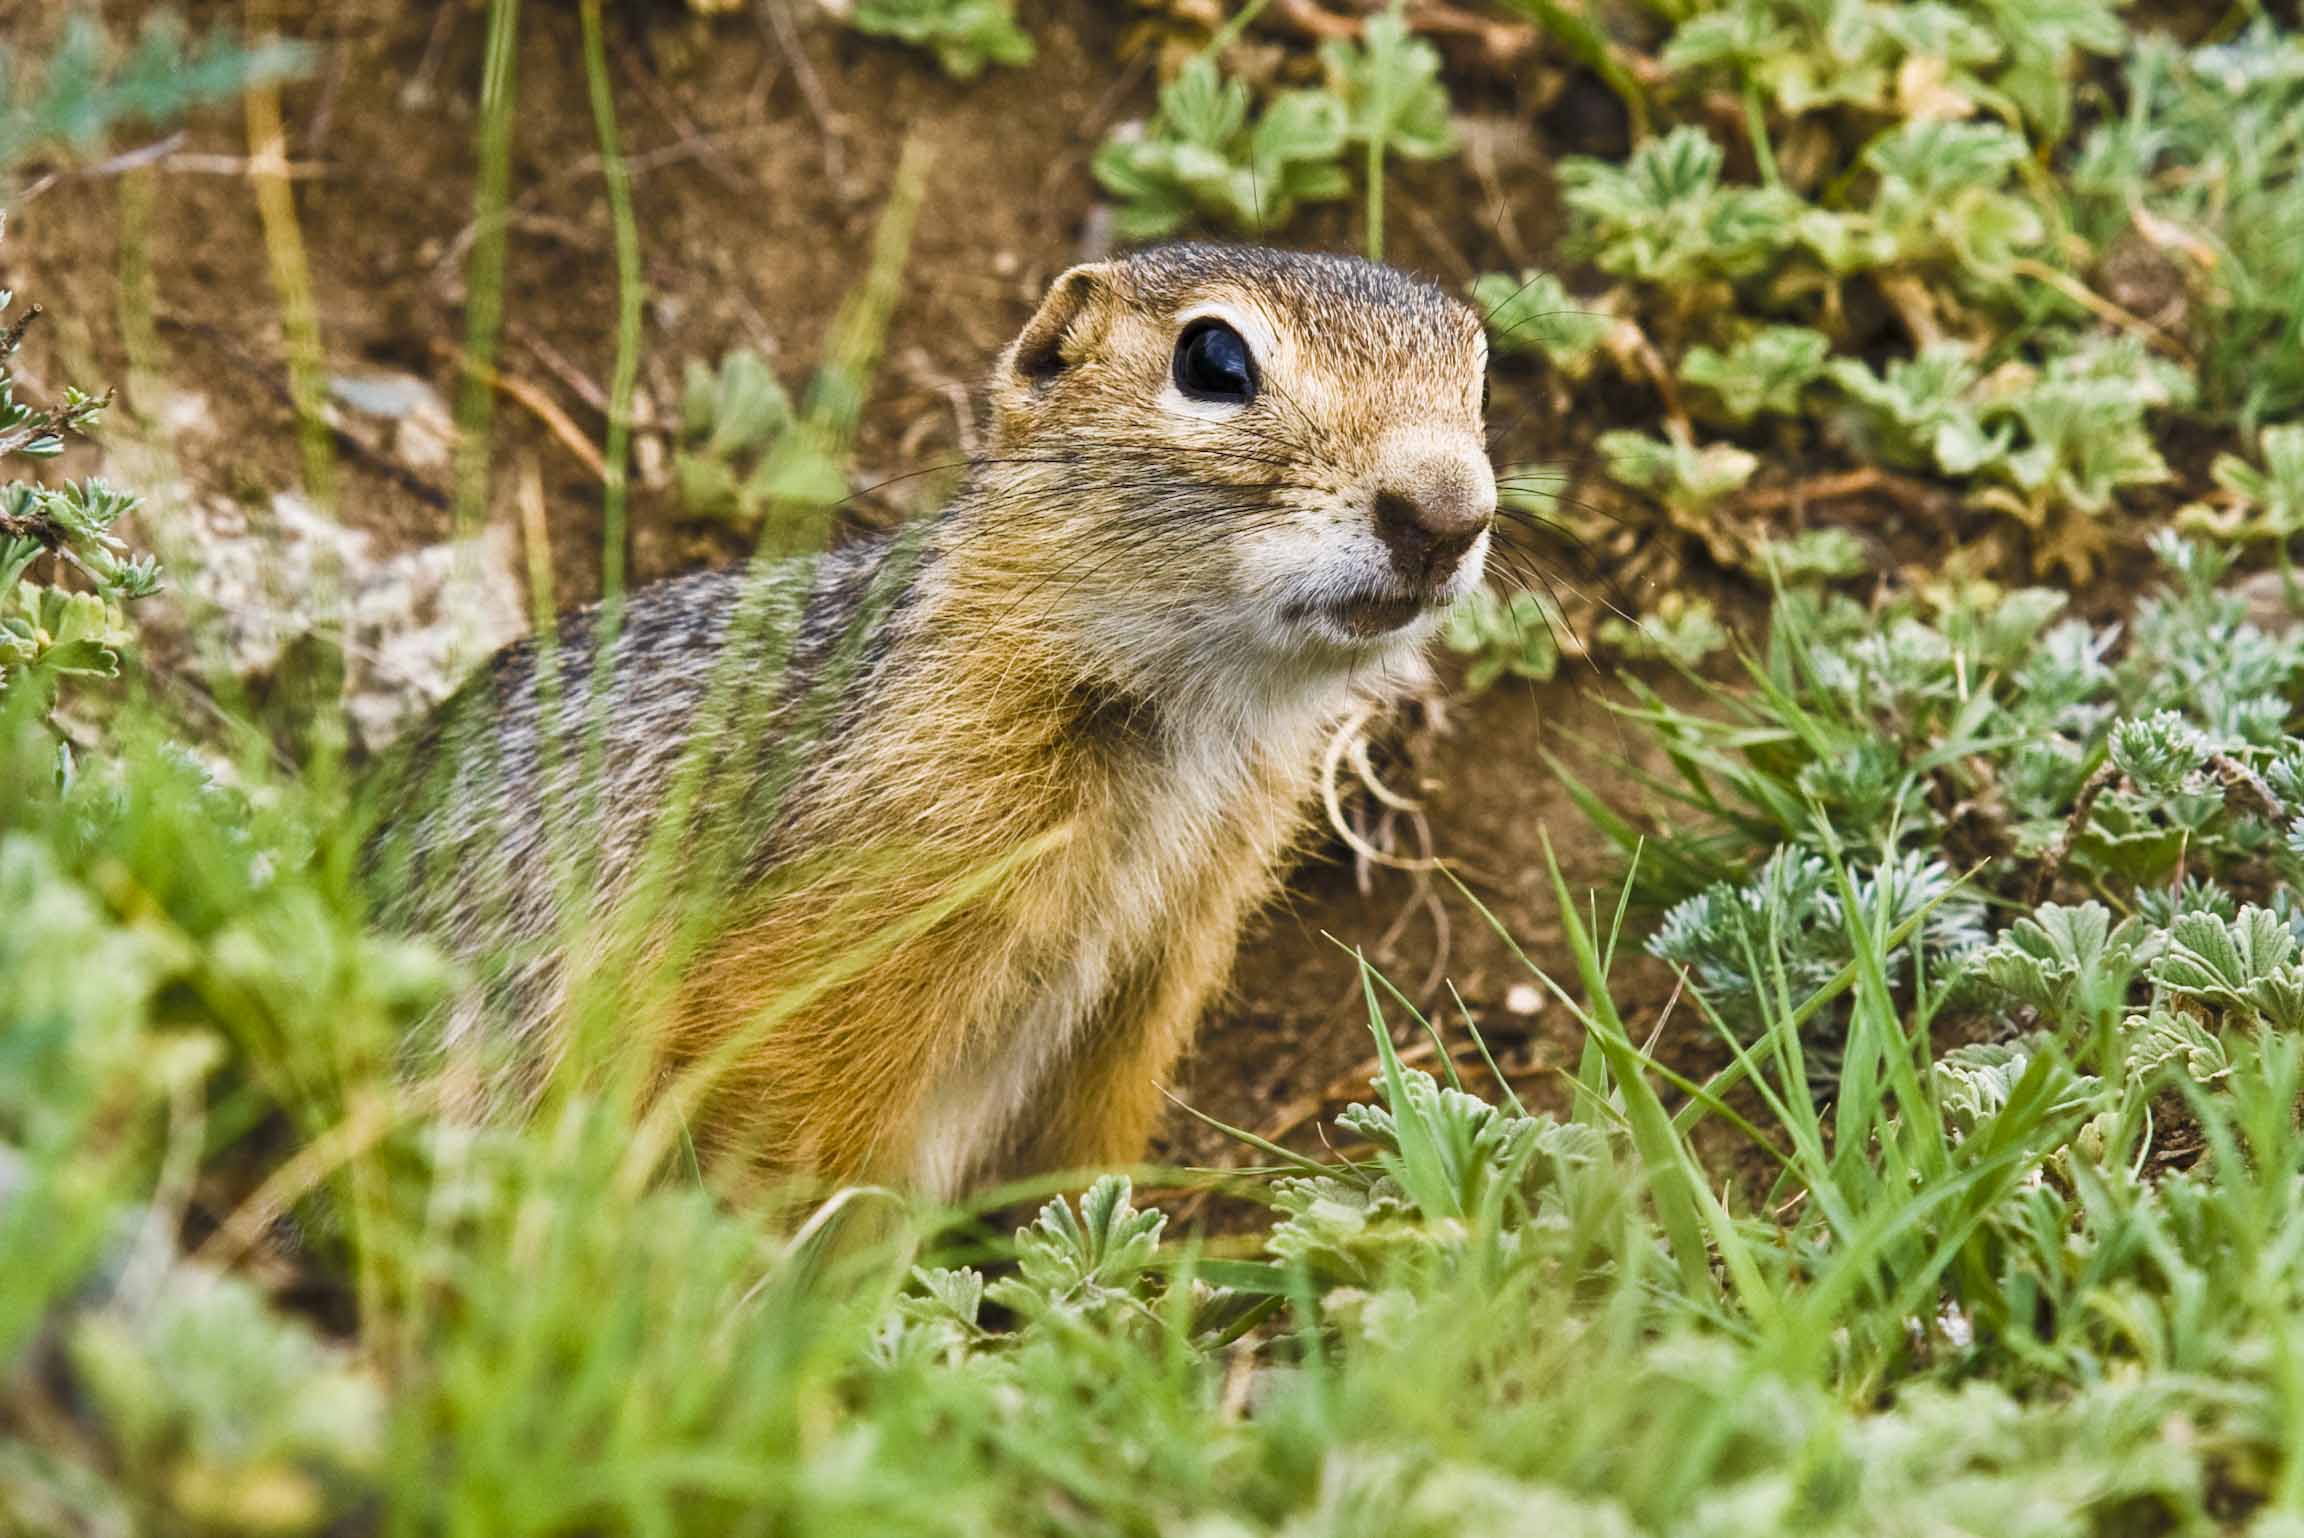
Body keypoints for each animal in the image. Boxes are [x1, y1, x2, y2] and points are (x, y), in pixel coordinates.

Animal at [364, 242, 1492, 1197]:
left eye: (1481, 373)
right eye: (1213, 360)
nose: (1448, 512)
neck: (1200, 720)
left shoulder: (1163, 969)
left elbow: (1089, 1143)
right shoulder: (866, 902)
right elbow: (787, 1119)